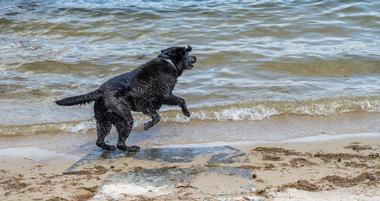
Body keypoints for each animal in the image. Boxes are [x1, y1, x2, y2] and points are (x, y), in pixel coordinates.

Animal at [56, 45, 199, 152]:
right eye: (188, 54)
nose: (196, 57)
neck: (169, 62)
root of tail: (100, 91)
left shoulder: (147, 105)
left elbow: (157, 116)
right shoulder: (164, 96)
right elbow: (178, 103)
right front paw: (186, 113)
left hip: (104, 120)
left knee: (100, 141)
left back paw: (109, 147)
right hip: (124, 118)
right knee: (120, 143)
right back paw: (131, 148)